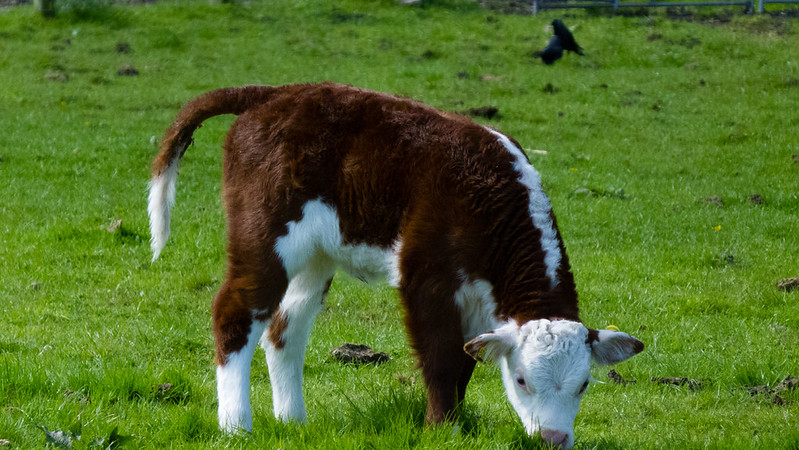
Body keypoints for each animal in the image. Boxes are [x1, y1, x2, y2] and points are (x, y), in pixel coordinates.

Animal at [147, 82, 643, 449]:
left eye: (583, 384)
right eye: (521, 380)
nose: (554, 439)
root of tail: (274, 93)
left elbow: (464, 362)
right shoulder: (427, 278)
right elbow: (443, 358)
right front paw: (443, 430)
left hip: (317, 255)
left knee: (286, 327)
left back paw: (293, 421)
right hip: (264, 234)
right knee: (236, 312)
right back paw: (236, 425)